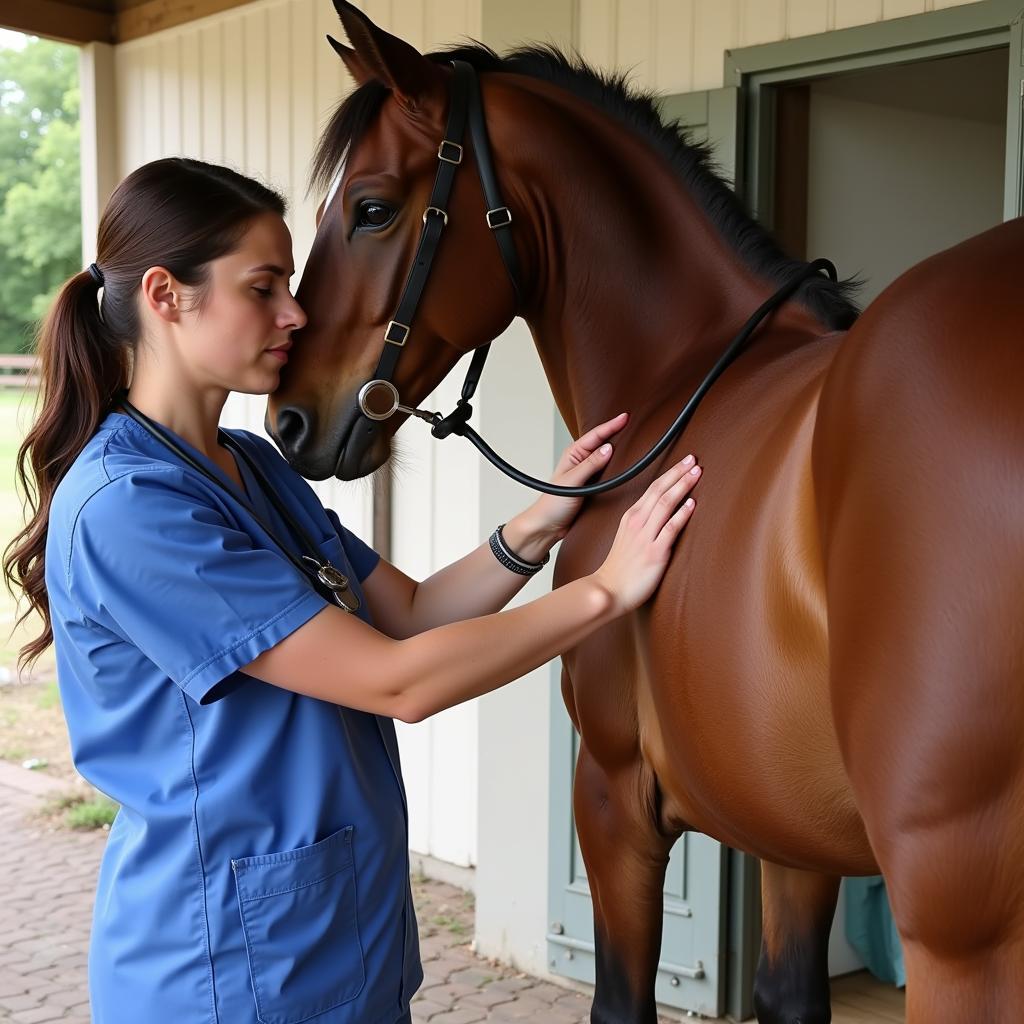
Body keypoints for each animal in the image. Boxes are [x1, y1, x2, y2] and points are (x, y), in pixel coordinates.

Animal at [268, 4, 1024, 1019]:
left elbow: (622, 997)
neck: (683, 375)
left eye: (373, 207)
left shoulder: (615, 795)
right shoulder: (791, 829)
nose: (288, 419)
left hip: (956, 919)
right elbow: (789, 991)